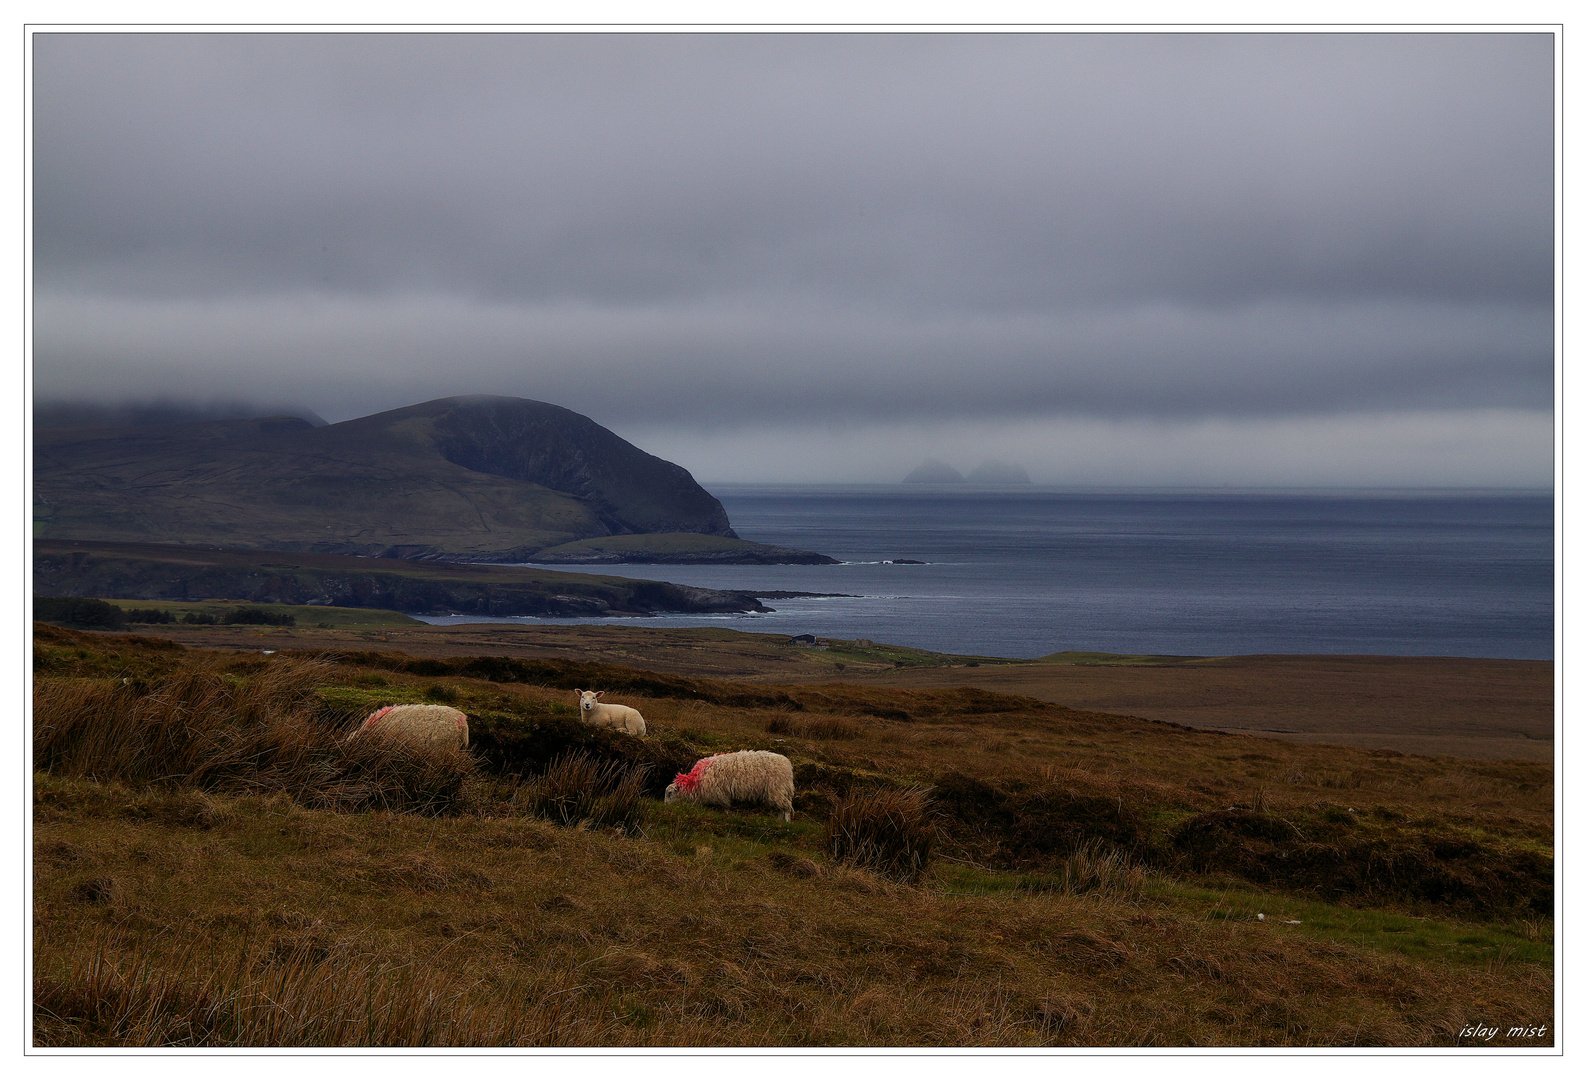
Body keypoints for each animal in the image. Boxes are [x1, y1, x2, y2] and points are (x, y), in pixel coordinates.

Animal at [663, 745, 793, 818]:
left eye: (670, 793)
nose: (665, 807)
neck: (697, 780)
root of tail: (787, 764)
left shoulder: (720, 794)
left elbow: (725, 808)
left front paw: (726, 817)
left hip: (777, 790)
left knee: (786, 809)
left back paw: (786, 823)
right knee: (780, 809)